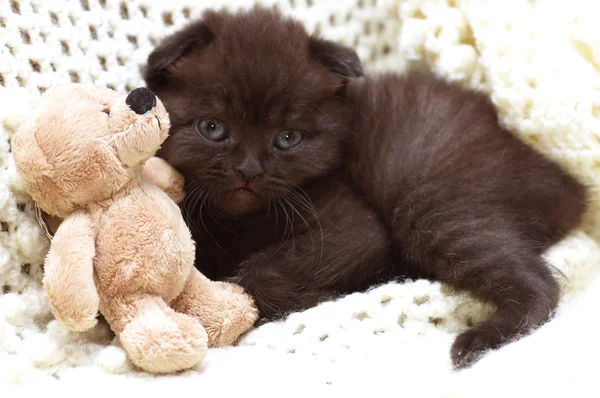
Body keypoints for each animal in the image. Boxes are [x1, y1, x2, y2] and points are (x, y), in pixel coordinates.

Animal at [144, 5, 584, 370]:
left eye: (288, 138)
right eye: (213, 128)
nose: (248, 170)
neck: (234, 222)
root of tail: (563, 183)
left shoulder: (353, 226)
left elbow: (257, 275)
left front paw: (317, 297)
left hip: (430, 203)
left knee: (541, 286)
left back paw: (477, 342)